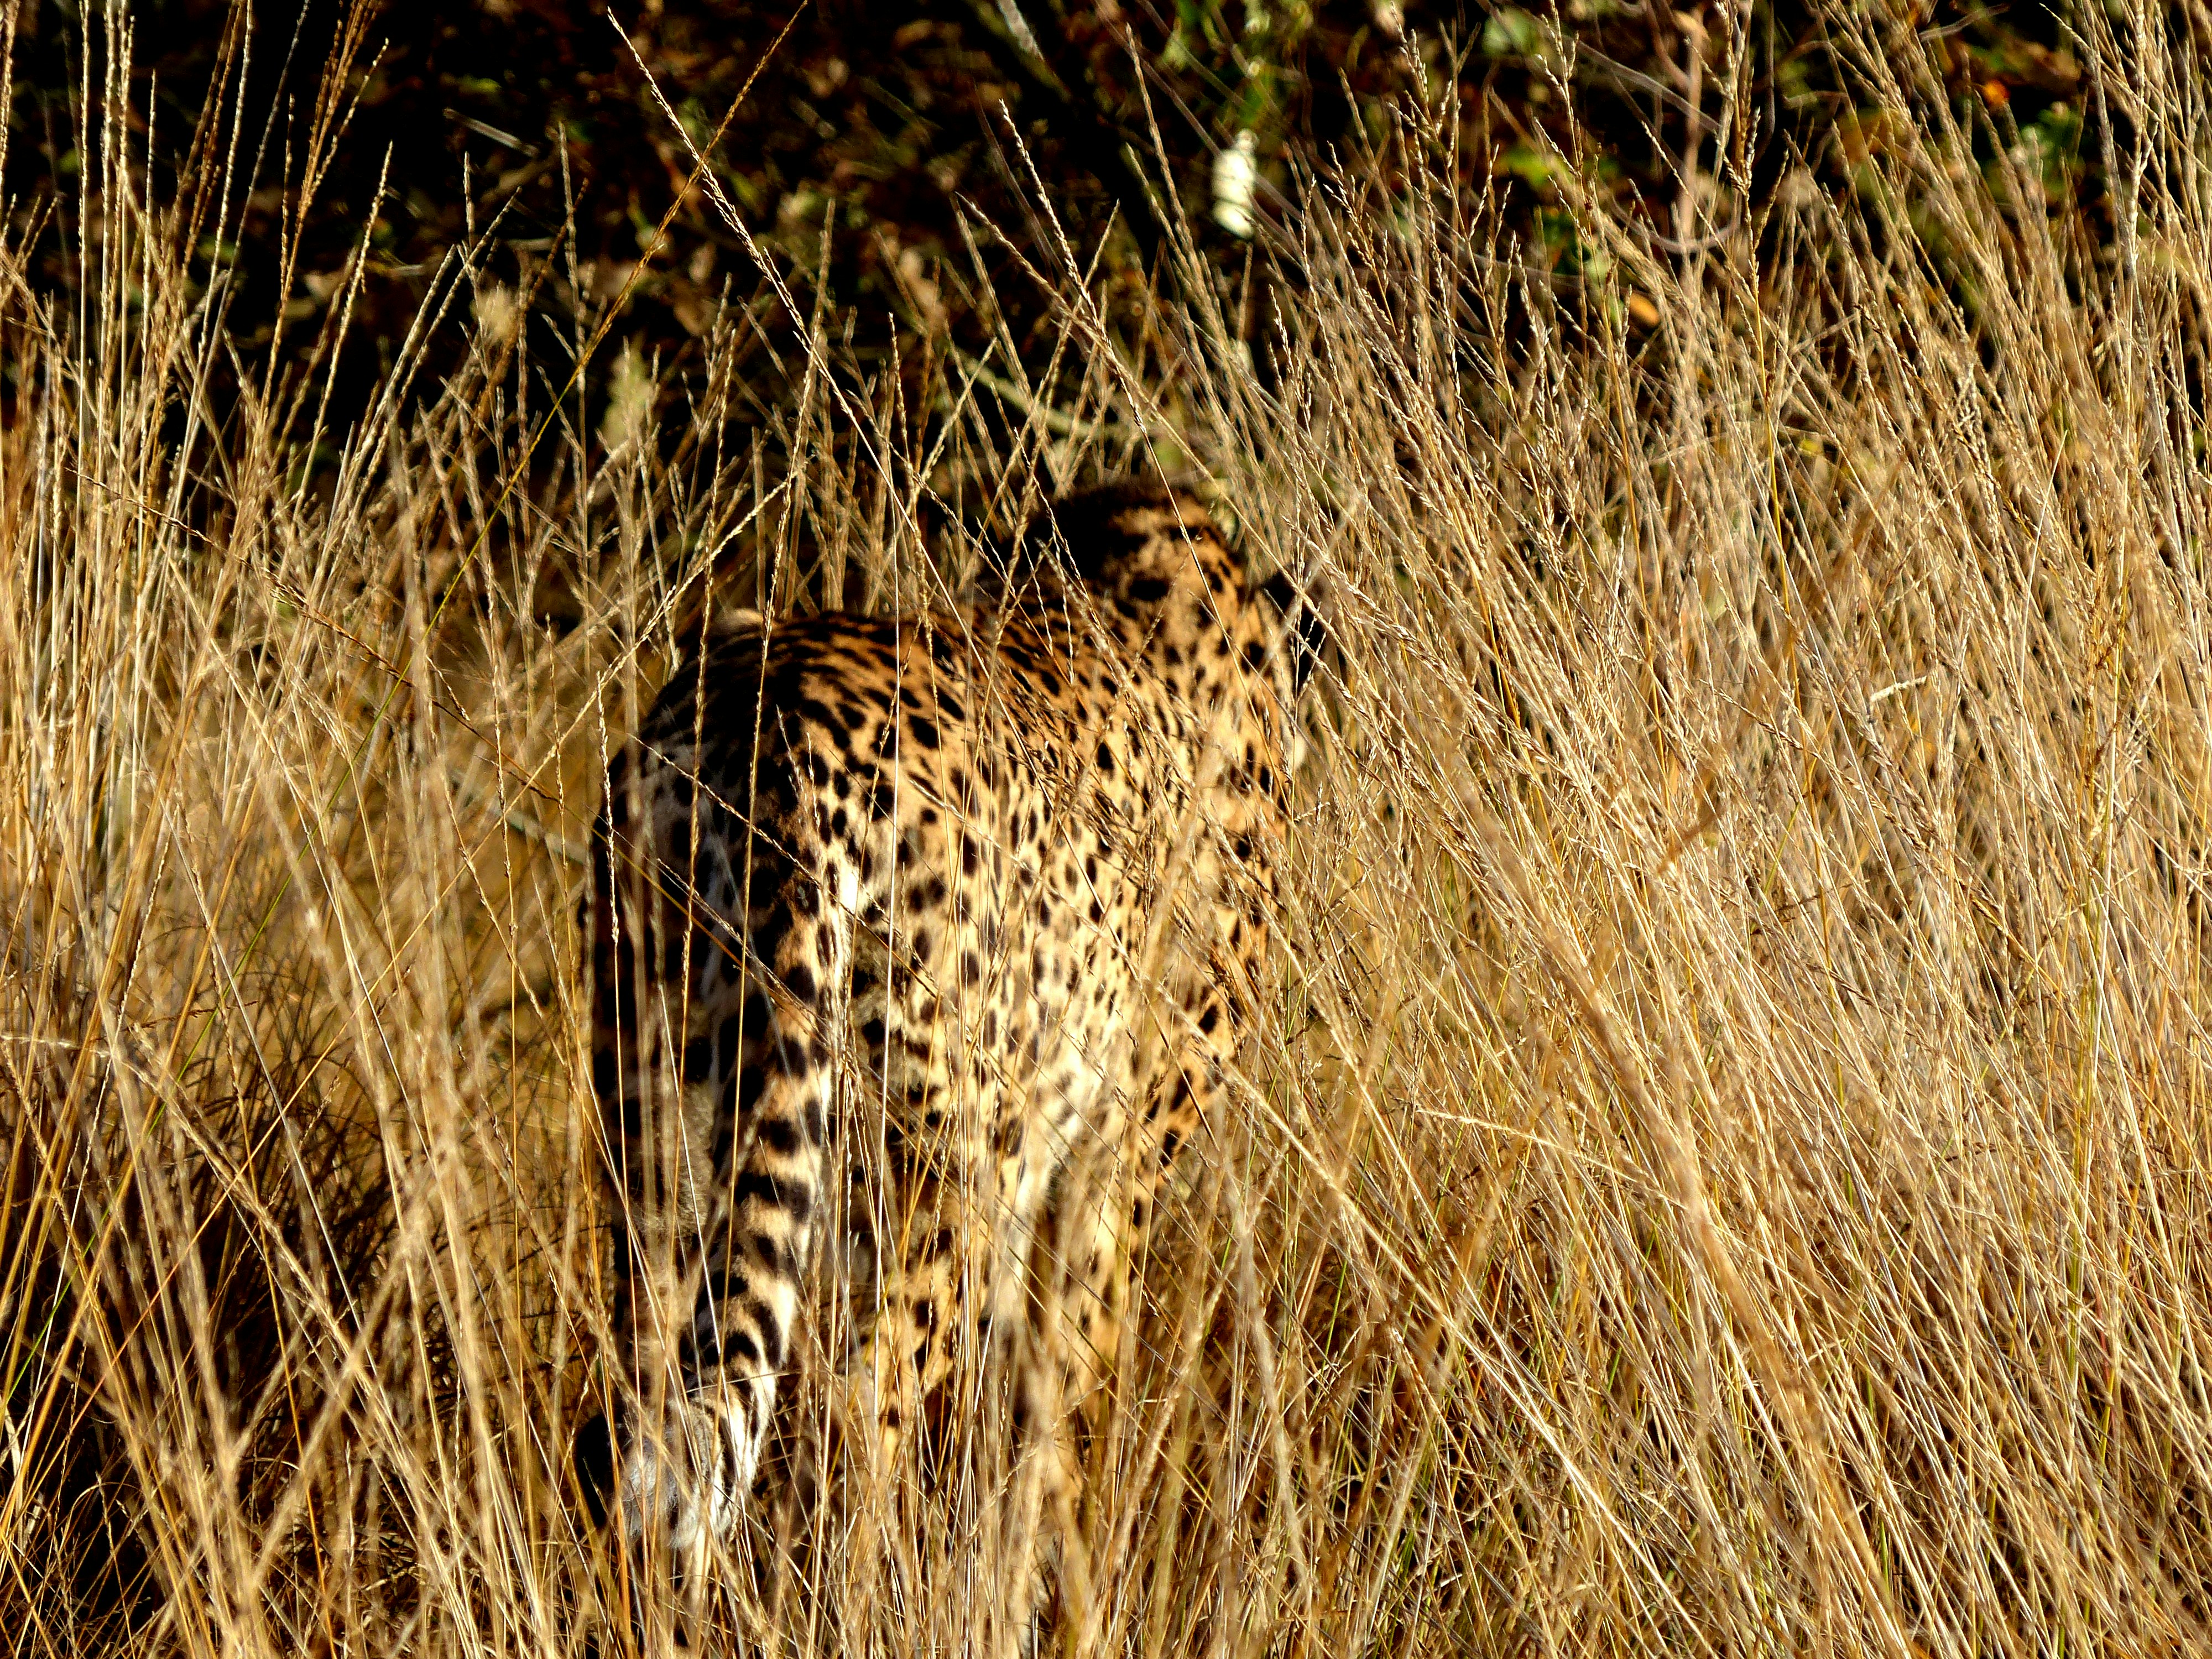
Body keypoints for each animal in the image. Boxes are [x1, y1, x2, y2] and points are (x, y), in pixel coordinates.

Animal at [574, 479, 1322, 1615]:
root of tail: (769, 715)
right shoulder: (1109, 1165)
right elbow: (1063, 1414)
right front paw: (1053, 1597)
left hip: (659, 1109)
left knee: (648, 1397)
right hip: (951, 1155)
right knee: (856, 1399)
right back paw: (858, 1609)